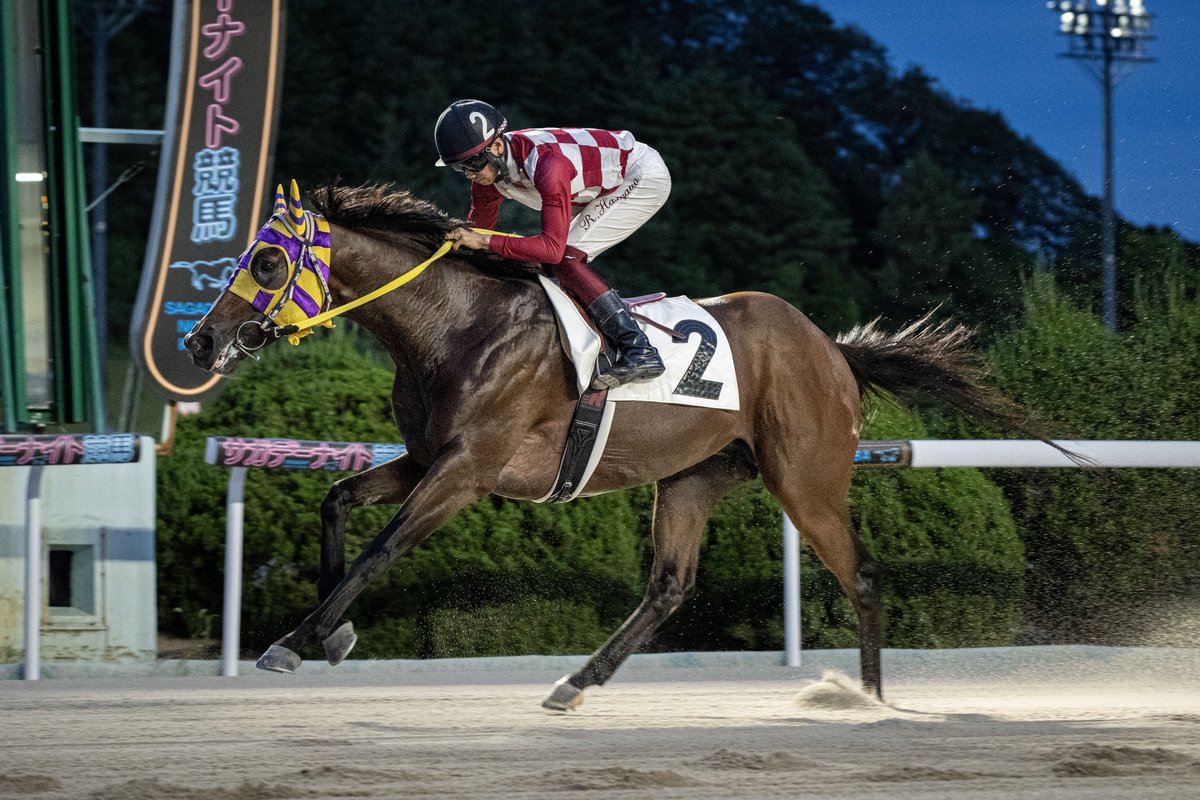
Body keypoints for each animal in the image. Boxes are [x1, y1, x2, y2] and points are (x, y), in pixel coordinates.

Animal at [184, 181, 1041, 710]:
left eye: (267, 261)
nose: (201, 342)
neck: (455, 324)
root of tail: (832, 349)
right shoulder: (431, 458)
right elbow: (336, 500)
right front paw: (329, 635)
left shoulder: (467, 471)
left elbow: (380, 549)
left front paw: (295, 639)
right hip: (694, 477)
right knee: (669, 586)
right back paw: (575, 682)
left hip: (808, 480)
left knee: (860, 573)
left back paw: (868, 700)